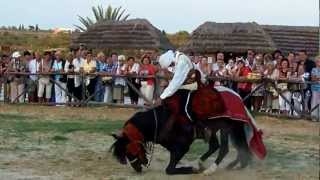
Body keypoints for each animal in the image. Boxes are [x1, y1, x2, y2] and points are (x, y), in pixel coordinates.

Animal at [110, 86, 264, 175]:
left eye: (129, 150)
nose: (137, 169)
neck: (163, 118)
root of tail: (238, 98)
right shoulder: (173, 145)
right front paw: (195, 166)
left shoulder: (183, 146)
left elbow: (169, 169)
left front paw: (192, 169)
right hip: (220, 129)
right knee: (230, 147)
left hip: (225, 128)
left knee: (224, 149)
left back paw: (210, 169)